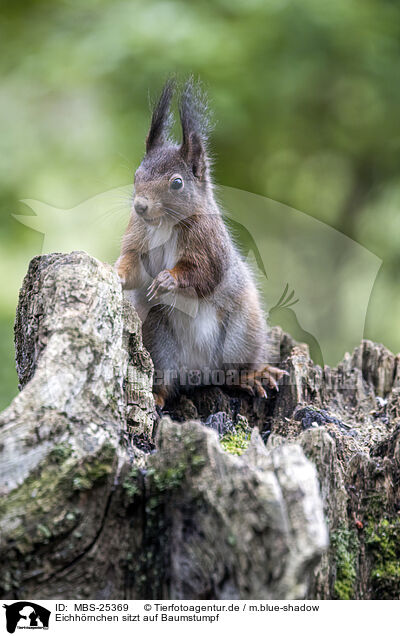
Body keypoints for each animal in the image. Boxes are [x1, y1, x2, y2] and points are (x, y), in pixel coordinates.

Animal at [115, 79, 288, 408]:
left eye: (177, 183)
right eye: (136, 174)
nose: (140, 206)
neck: (164, 225)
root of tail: (200, 374)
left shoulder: (208, 242)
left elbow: (206, 274)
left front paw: (168, 280)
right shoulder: (137, 236)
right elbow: (133, 267)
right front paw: (114, 272)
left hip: (242, 333)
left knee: (234, 371)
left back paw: (252, 376)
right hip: (158, 337)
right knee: (165, 379)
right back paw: (157, 395)